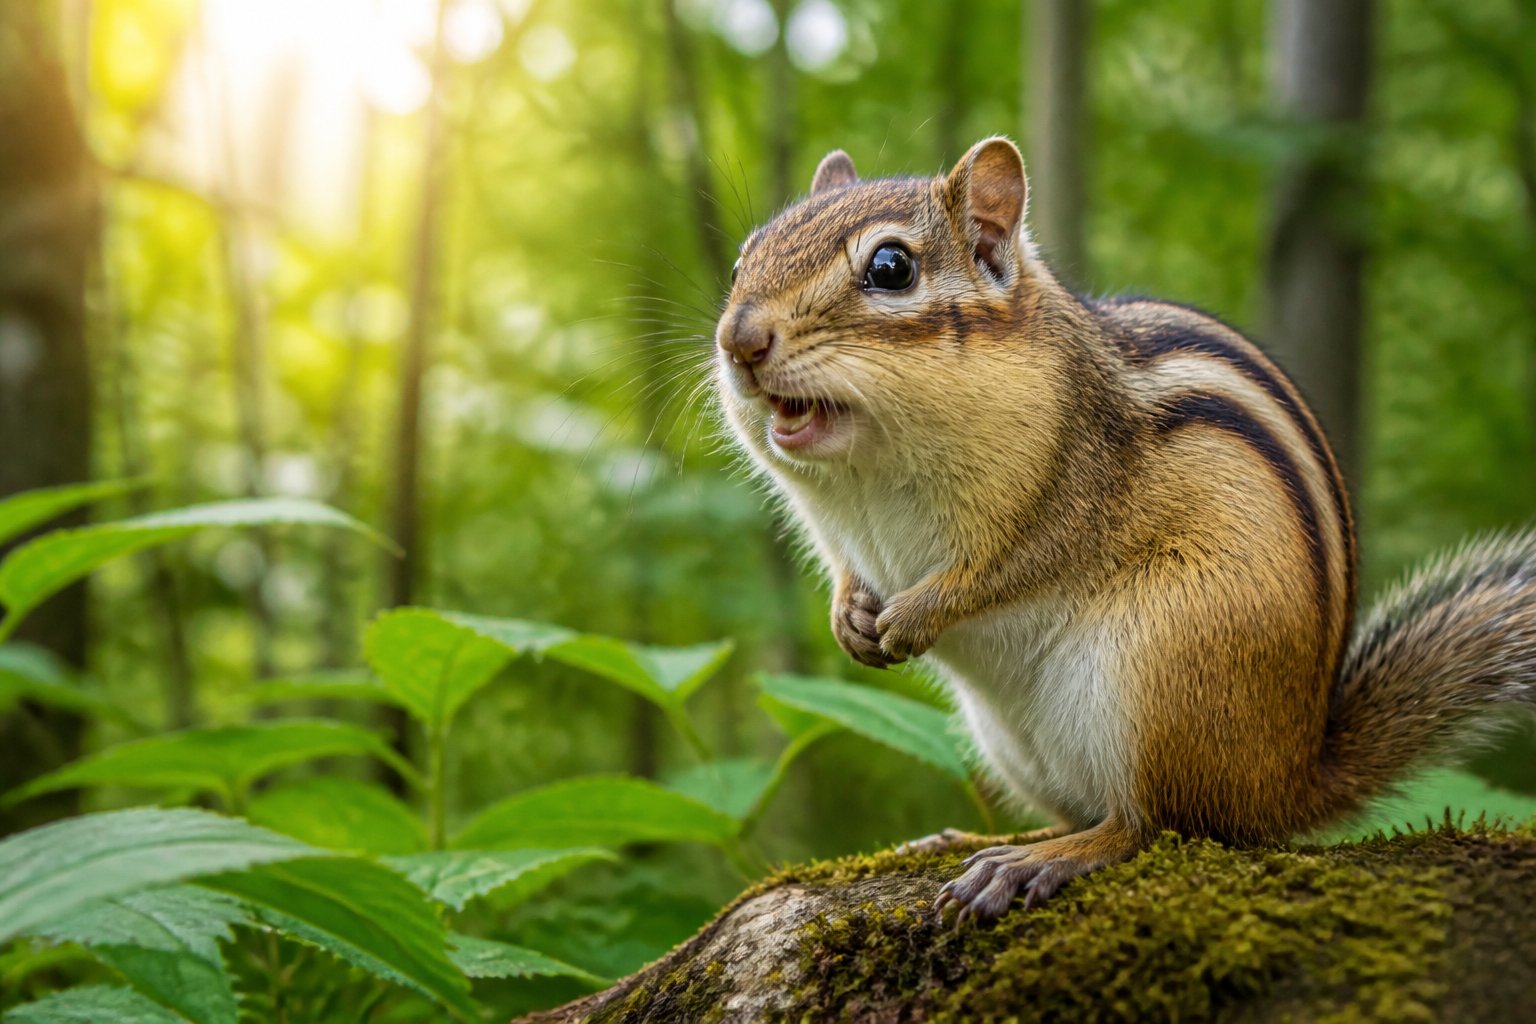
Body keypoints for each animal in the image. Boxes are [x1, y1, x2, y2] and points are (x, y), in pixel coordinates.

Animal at [712, 136, 1536, 921]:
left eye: (891, 268)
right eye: (744, 257)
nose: (738, 340)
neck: (869, 470)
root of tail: (1291, 779)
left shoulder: (1072, 492)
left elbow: (1006, 568)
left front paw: (915, 614)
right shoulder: (838, 532)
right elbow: (847, 571)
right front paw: (850, 618)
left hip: (1161, 668)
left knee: (1153, 824)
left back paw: (1037, 861)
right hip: (1015, 739)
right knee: (1088, 811)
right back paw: (977, 838)